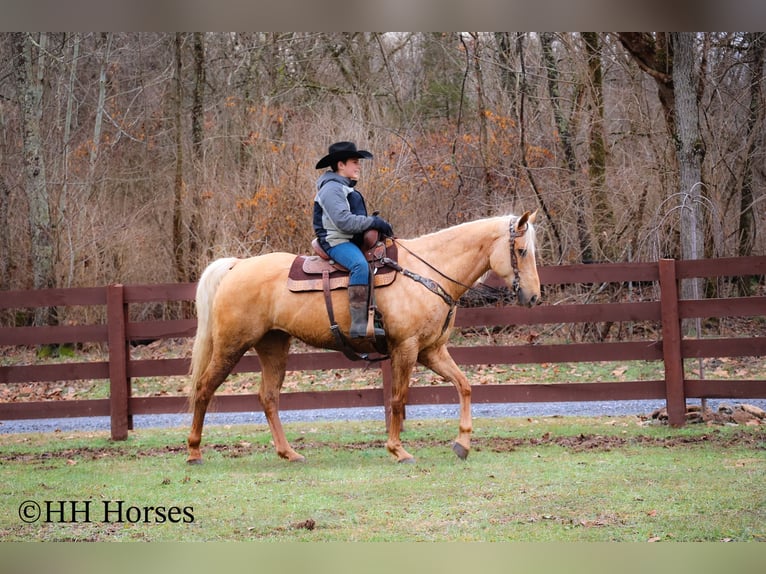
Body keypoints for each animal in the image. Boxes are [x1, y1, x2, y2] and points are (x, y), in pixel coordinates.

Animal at [186, 211, 540, 464]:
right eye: (522, 251)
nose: (534, 297)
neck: (427, 272)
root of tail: (237, 266)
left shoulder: (432, 351)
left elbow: (464, 386)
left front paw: (462, 443)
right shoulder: (406, 349)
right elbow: (398, 399)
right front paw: (398, 450)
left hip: (273, 346)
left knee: (268, 397)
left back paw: (289, 453)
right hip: (231, 346)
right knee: (203, 389)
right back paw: (194, 451)